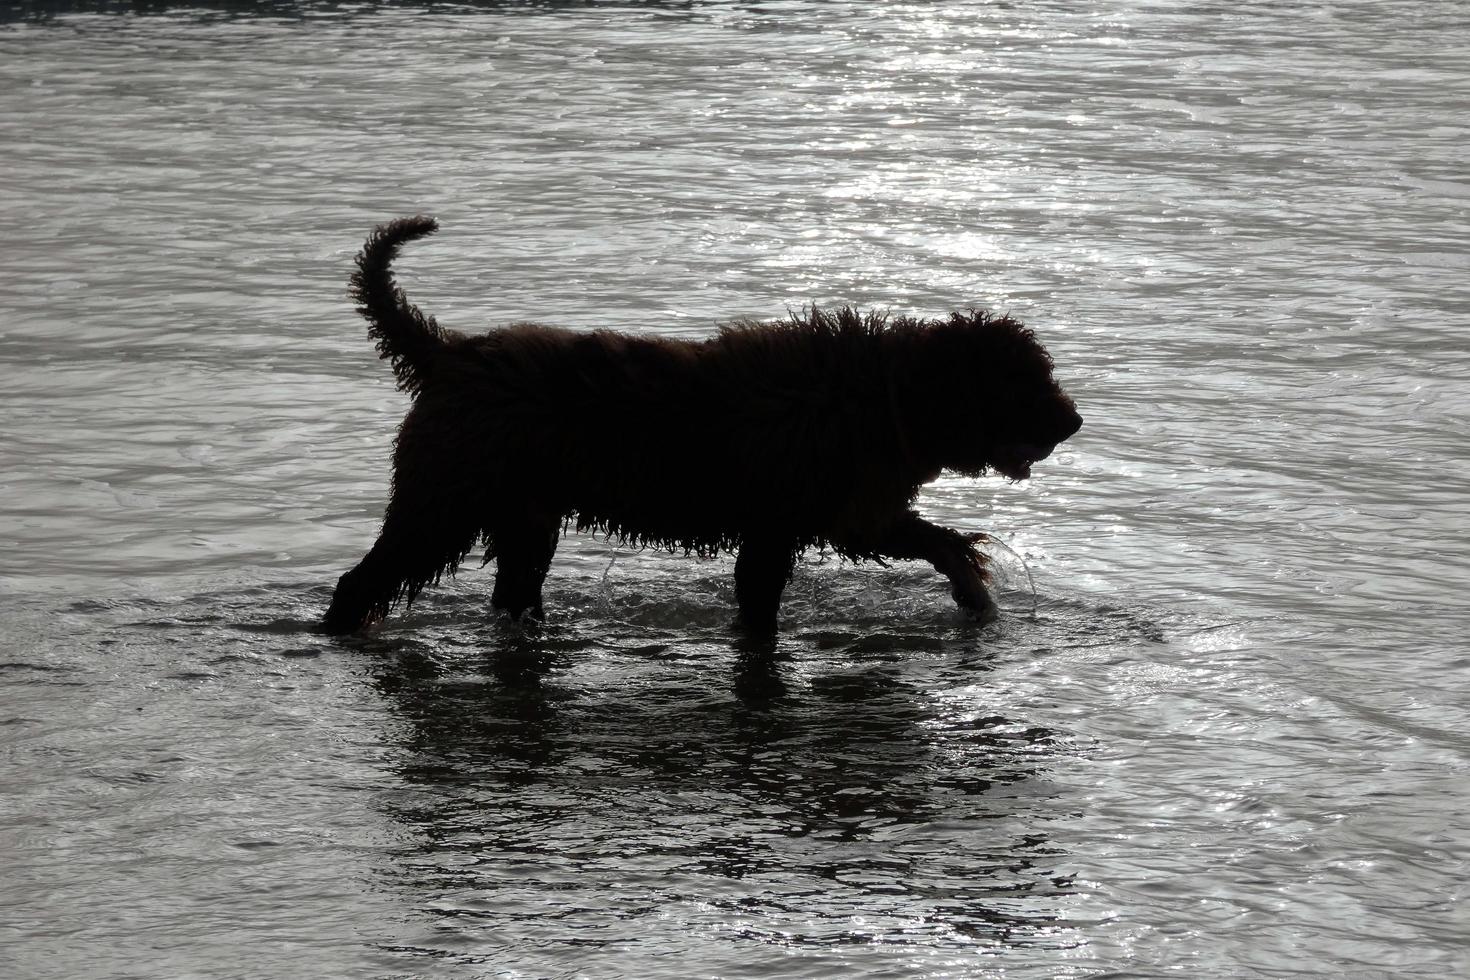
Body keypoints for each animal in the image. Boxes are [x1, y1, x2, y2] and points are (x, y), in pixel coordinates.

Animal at [321, 214, 1081, 637]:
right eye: (1024, 382)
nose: (1074, 422)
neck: (882, 392)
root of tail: (449, 352)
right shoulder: (776, 528)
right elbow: (761, 607)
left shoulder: (852, 512)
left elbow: (937, 541)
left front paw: (973, 592)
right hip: (441, 504)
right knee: (361, 584)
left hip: (523, 520)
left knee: (511, 595)